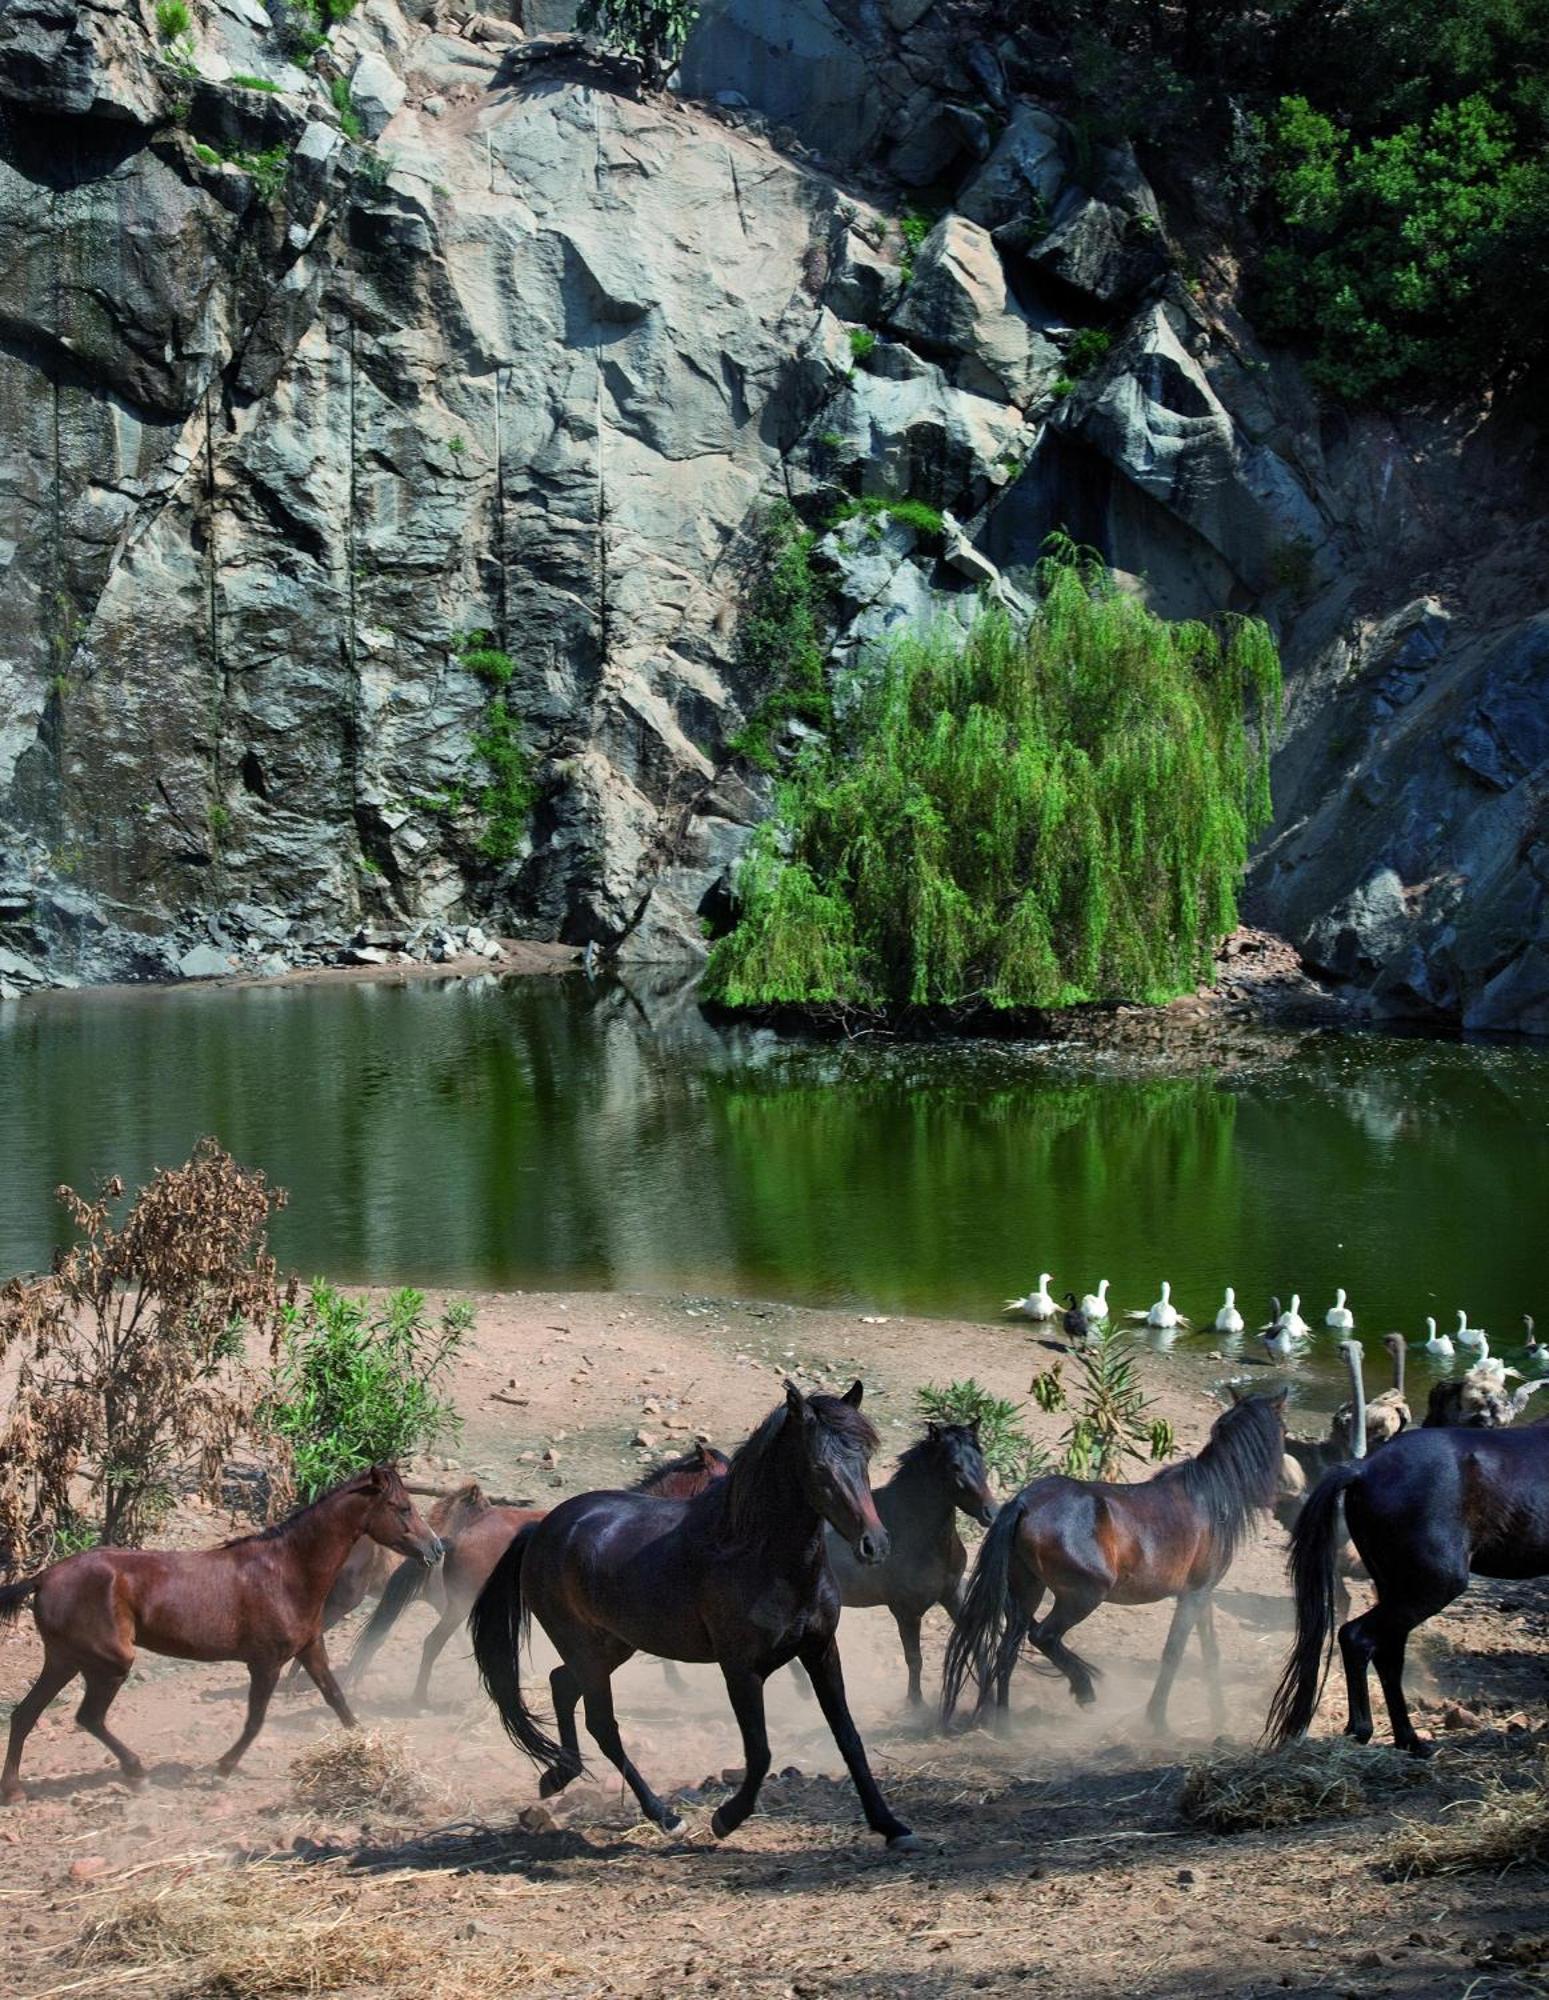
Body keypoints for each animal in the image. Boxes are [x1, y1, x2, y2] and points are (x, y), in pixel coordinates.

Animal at [1, 1464, 448, 1808]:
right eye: (403, 1507)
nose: (436, 1549)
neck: (288, 1572)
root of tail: (43, 1578)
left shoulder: (310, 1648)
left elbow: (337, 1699)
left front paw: (369, 1750)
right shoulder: (265, 1663)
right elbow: (255, 1720)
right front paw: (222, 1770)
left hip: (64, 1660)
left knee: (25, 1714)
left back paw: (15, 1792)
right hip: (108, 1664)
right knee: (87, 1717)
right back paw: (137, 1773)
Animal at [466, 1384, 916, 1848]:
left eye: (864, 1460)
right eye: (818, 1467)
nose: (875, 1544)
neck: (758, 1553)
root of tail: (540, 1530)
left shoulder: (821, 1651)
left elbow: (849, 1739)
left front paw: (890, 1825)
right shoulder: (740, 1669)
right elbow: (760, 1751)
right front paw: (726, 1818)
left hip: (613, 1646)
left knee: (561, 1685)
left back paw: (559, 1775)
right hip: (587, 1651)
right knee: (603, 1725)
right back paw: (665, 1816)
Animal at [808, 1424, 1000, 1704]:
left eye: (981, 1459)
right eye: (954, 1466)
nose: (992, 1513)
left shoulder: (953, 1593)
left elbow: (975, 1642)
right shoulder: (906, 1611)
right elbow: (914, 1659)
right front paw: (915, 1704)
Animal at [944, 1392, 1288, 1736]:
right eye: (1284, 1430)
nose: (1285, 1485)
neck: (1211, 1498)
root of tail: (1023, 1503)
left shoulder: (1201, 1594)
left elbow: (1210, 1652)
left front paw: (1219, 1716)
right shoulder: (1193, 1595)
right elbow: (1173, 1653)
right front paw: (1158, 1720)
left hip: (1027, 1592)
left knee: (1008, 1652)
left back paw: (1006, 1727)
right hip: (1083, 1595)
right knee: (1043, 1637)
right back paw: (1083, 1689)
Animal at [1264, 1432, 1549, 1760]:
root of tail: (1364, 1469)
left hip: (1395, 1588)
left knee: (1387, 1656)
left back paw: (1408, 1740)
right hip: (1430, 1587)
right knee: (1357, 1637)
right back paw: (1363, 1731)